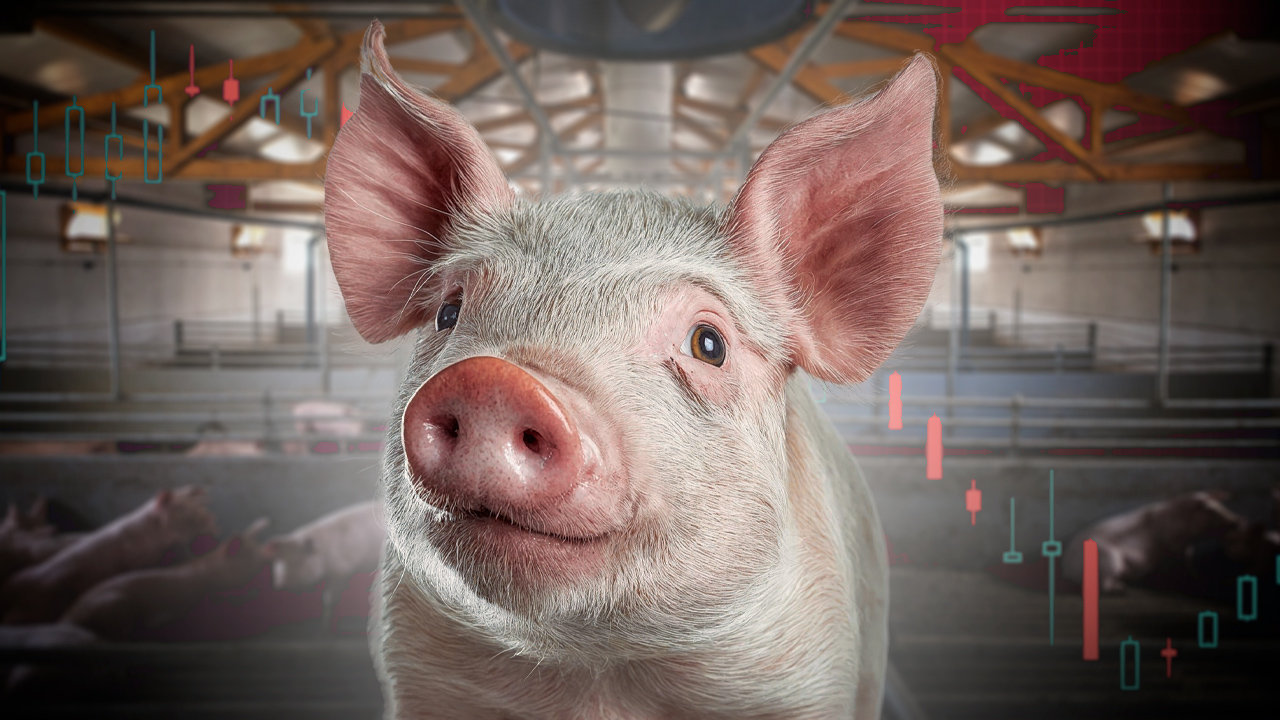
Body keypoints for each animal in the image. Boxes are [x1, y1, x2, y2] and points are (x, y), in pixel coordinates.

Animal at [265, 501, 384, 631]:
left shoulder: (341, 572)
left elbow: (329, 597)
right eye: (280, 561)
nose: (279, 585)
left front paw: (326, 627)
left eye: (299, 560)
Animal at [1063, 491, 1249, 594]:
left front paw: (1196, 575)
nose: (1240, 520)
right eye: (1210, 510)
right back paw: (1123, 590)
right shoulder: (1173, 539)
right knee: (1104, 585)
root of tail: (1068, 568)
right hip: (1108, 559)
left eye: (1221, 505)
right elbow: (1184, 553)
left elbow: (1189, 555)